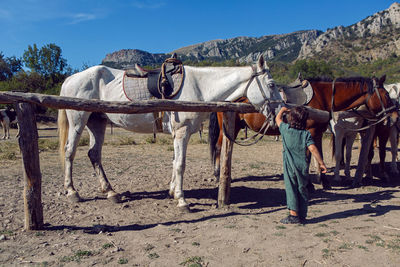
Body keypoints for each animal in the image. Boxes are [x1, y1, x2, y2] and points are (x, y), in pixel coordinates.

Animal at [57, 57, 282, 210]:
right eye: (271, 85)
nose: (281, 112)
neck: (200, 87)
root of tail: (70, 79)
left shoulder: (178, 134)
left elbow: (175, 162)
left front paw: (173, 192)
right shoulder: (182, 132)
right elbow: (181, 164)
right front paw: (182, 201)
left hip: (97, 122)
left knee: (94, 154)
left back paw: (111, 192)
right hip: (78, 121)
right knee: (69, 152)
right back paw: (72, 192)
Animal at [209, 75, 394, 188]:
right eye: (386, 95)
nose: (393, 116)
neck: (323, 96)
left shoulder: (317, 132)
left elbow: (317, 155)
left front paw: (324, 181)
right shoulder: (310, 131)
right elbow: (307, 157)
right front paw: (310, 185)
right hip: (228, 128)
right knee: (218, 148)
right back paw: (218, 175)